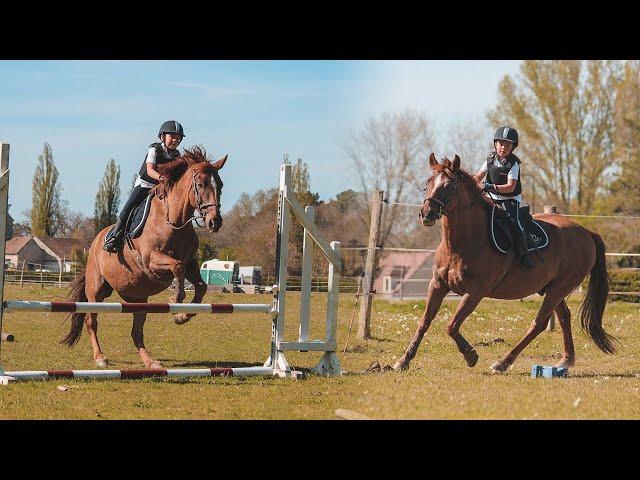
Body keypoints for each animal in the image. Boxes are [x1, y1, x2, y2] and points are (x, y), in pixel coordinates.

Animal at [62, 146, 228, 368]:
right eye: (200, 185)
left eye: (220, 185)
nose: (214, 222)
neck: (174, 221)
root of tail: (95, 241)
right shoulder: (152, 260)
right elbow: (177, 267)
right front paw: (175, 299)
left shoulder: (192, 262)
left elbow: (200, 286)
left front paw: (182, 316)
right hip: (96, 290)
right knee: (91, 321)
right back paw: (100, 358)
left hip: (138, 297)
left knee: (137, 332)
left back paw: (150, 362)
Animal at [392, 153, 616, 372]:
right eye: (428, 183)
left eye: (449, 185)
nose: (426, 214)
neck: (461, 244)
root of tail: (586, 232)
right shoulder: (438, 285)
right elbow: (424, 321)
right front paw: (404, 360)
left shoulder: (475, 292)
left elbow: (451, 326)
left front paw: (471, 356)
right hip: (553, 288)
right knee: (564, 317)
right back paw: (566, 361)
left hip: (559, 288)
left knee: (539, 323)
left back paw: (503, 362)